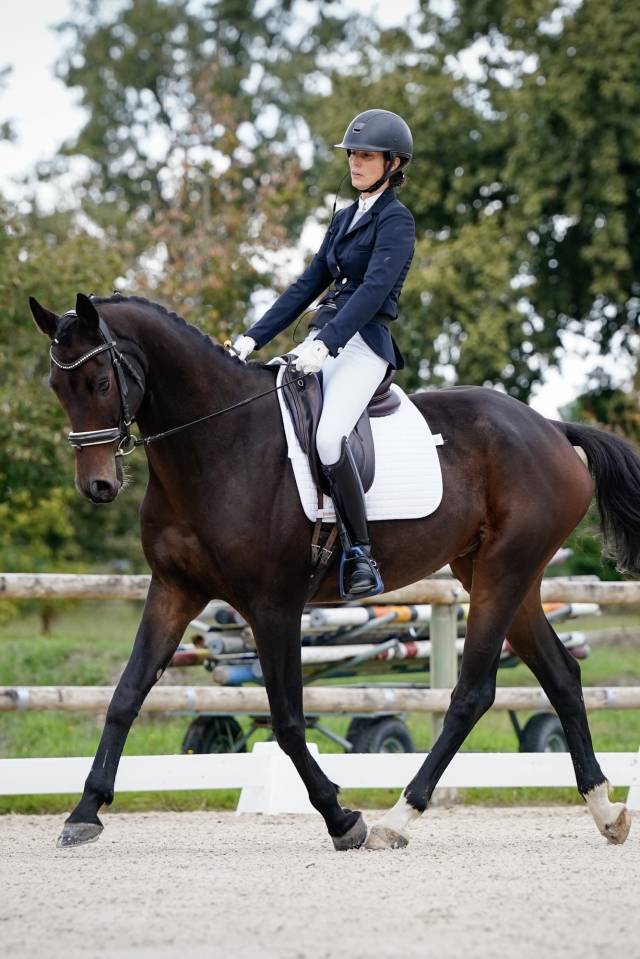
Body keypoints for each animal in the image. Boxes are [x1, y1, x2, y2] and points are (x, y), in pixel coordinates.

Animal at [29, 292, 640, 851]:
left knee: (473, 692)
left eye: (101, 383)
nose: (98, 485)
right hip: (502, 575)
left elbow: (288, 721)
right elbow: (126, 694)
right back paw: (606, 811)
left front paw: (341, 818)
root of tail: (551, 428)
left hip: (502, 574)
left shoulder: (273, 606)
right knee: (562, 675)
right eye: (57, 387)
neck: (217, 444)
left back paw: (398, 817)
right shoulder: (174, 590)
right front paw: (84, 812)